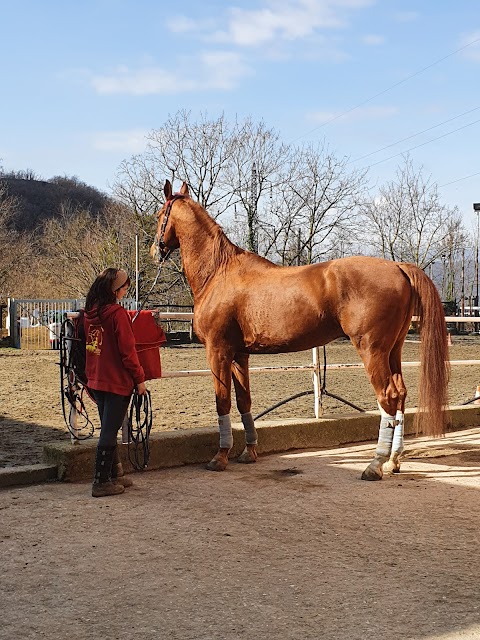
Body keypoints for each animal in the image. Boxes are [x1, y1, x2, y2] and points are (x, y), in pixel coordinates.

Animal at [151, 180, 450, 480]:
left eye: (158, 215)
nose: (155, 251)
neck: (219, 272)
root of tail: (398, 266)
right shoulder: (239, 356)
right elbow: (244, 401)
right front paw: (249, 453)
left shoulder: (218, 352)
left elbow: (222, 402)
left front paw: (220, 457)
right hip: (393, 351)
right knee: (401, 395)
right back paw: (393, 461)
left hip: (372, 351)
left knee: (388, 397)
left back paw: (375, 464)